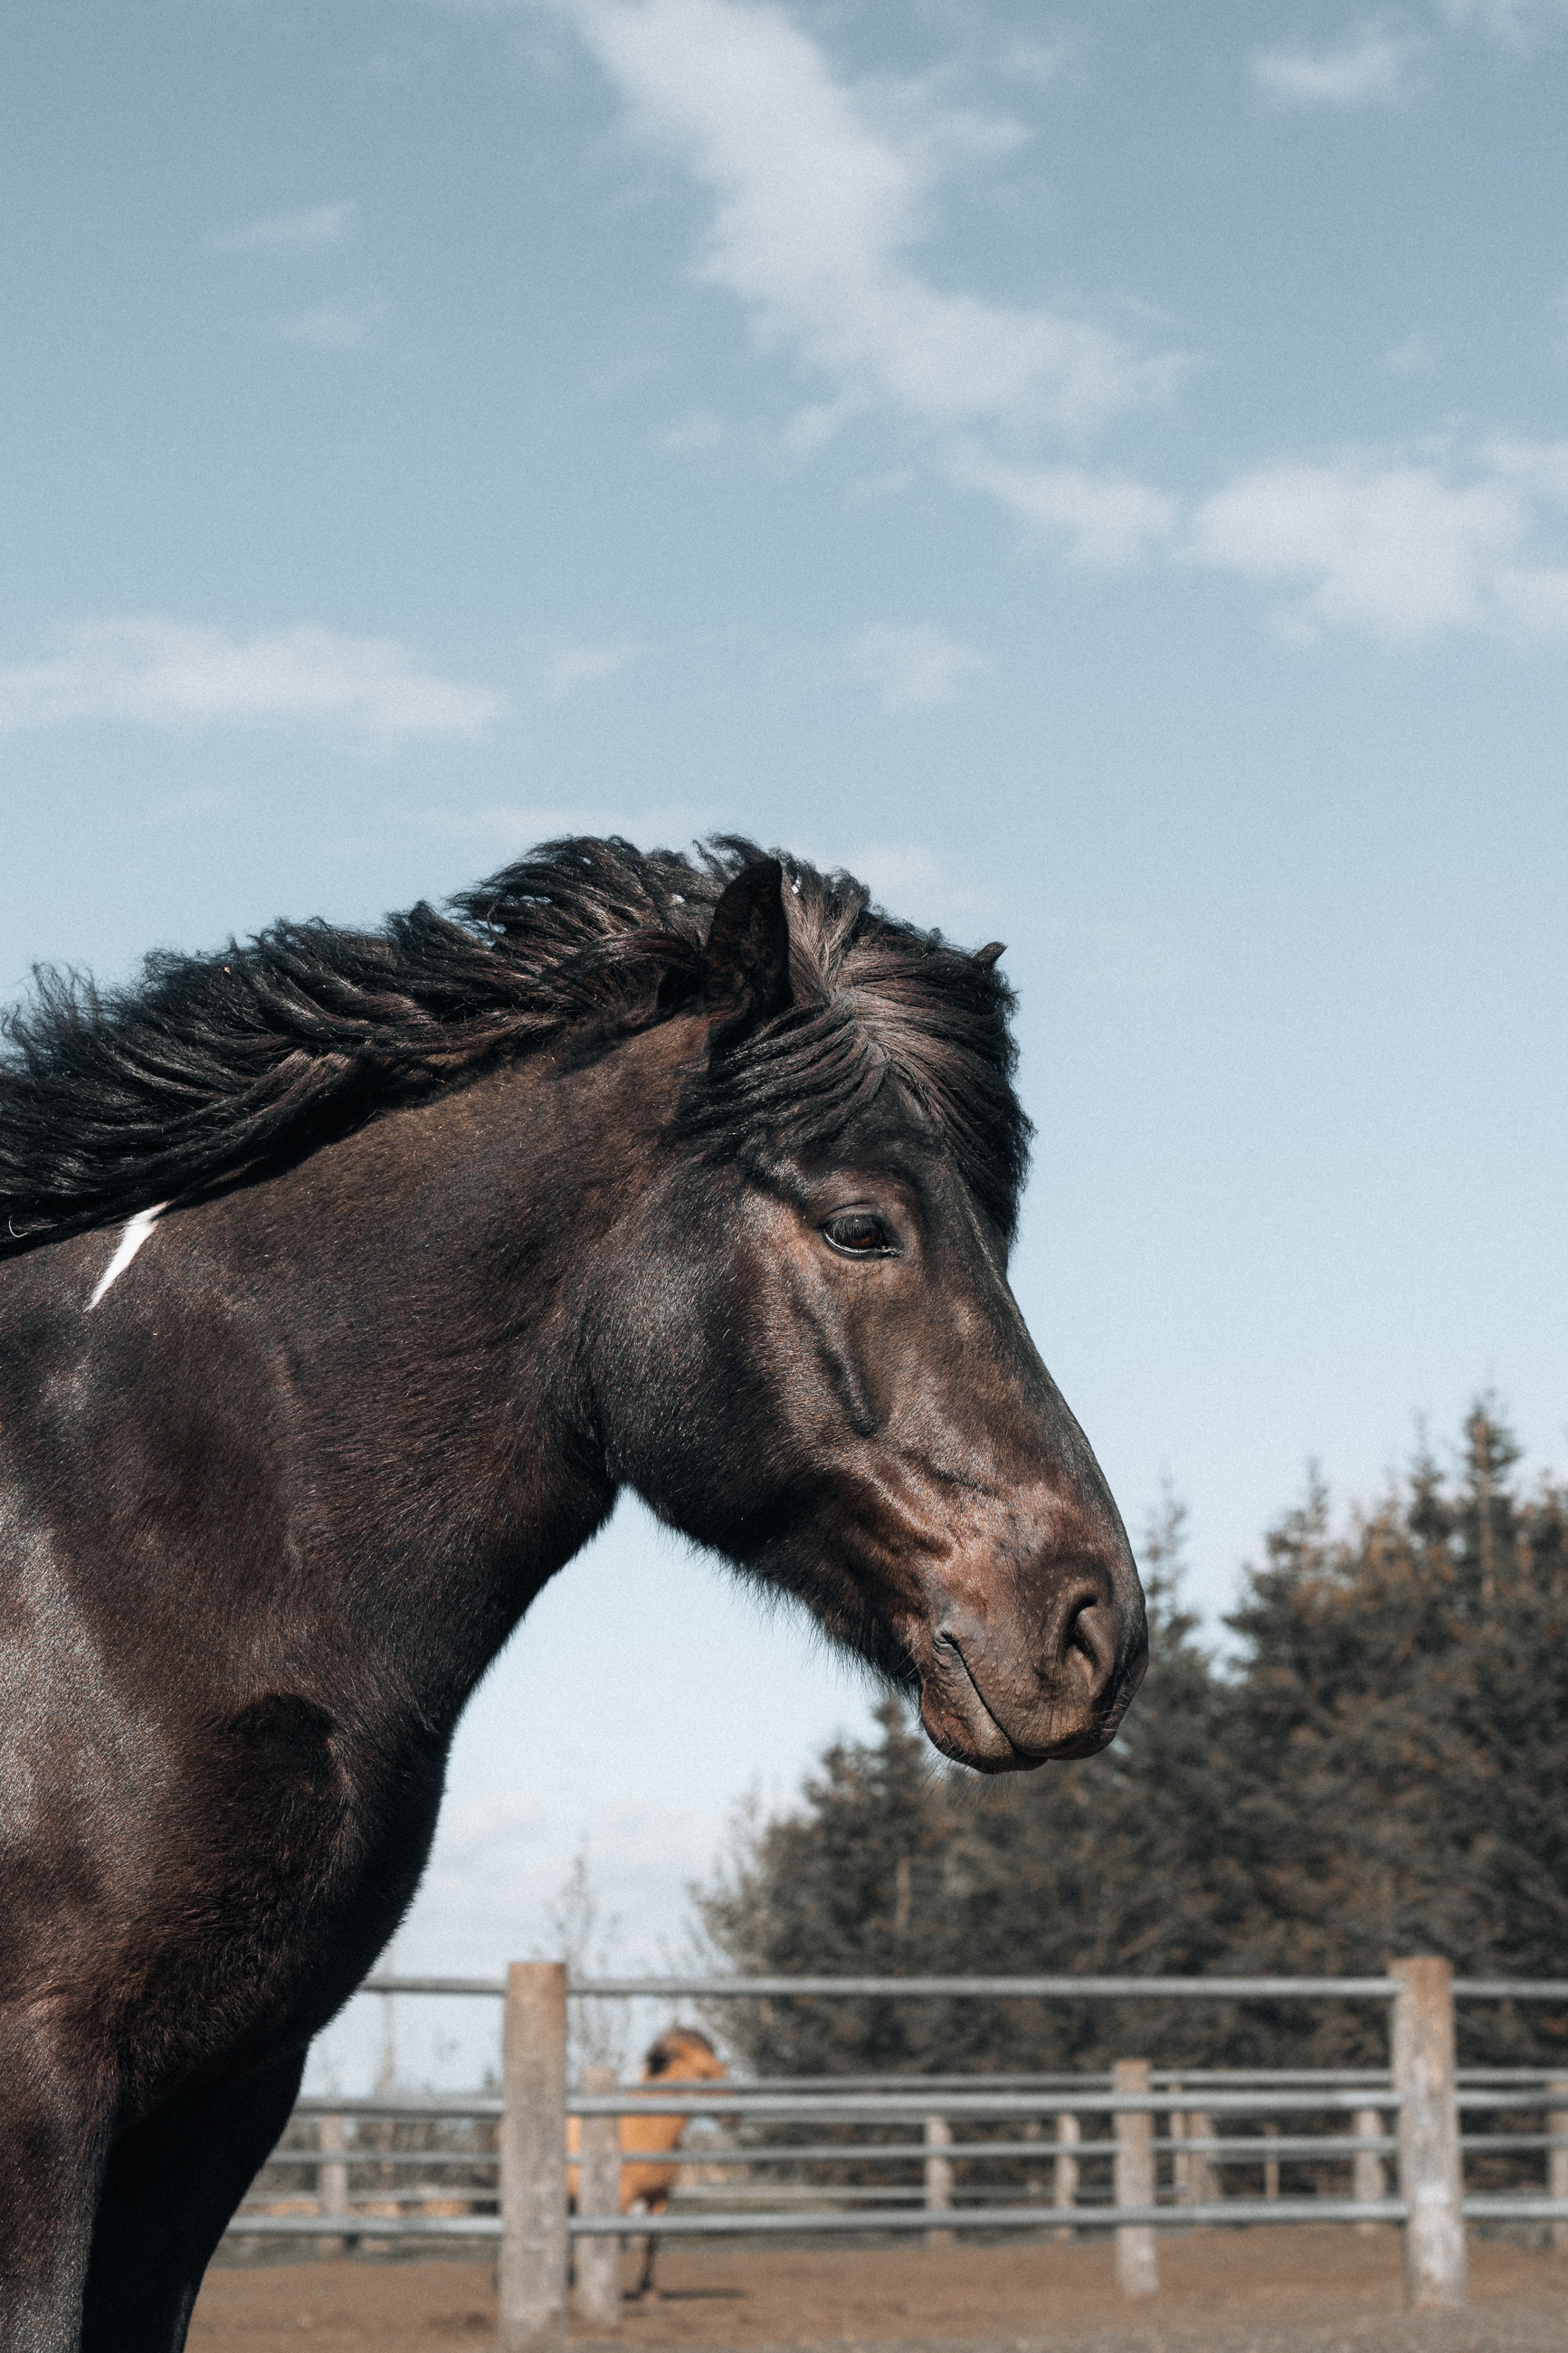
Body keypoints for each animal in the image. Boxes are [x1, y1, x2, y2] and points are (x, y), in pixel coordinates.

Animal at [566, 2027, 727, 2299]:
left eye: (724, 2070)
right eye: (705, 2074)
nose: (733, 2116)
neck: (649, 2129)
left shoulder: (660, 2197)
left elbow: (651, 2239)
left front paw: (649, 2289)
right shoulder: (622, 2198)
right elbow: (616, 2241)